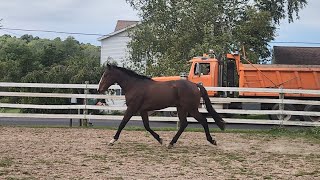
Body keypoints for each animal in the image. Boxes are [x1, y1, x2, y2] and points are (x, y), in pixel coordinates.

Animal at [97, 64, 225, 148]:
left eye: (106, 75)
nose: (99, 89)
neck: (134, 85)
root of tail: (195, 85)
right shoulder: (143, 110)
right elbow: (147, 126)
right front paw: (160, 140)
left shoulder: (132, 108)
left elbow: (122, 123)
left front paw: (112, 140)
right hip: (181, 108)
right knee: (184, 124)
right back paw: (171, 143)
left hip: (191, 109)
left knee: (203, 121)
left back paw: (212, 141)